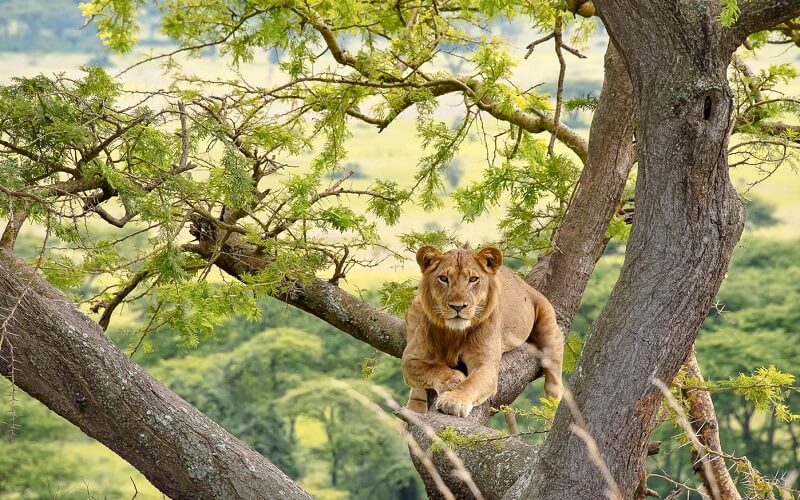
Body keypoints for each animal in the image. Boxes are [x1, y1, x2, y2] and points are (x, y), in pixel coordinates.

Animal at [402, 245, 564, 418]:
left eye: (473, 279)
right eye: (443, 278)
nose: (458, 306)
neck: (454, 333)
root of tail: (526, 286)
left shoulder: (486, 365)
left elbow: (471, 383)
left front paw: (454, 400)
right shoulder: (410, 358)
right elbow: (431, 368)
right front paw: (452, 379)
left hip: (548, 326)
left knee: (554, 385)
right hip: (416, 306)